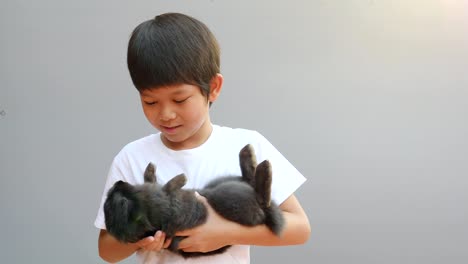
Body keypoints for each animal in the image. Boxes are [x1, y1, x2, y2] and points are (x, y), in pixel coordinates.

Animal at [103, 144, 284, 258]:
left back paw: (247, 155)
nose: (118, 183)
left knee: (249, 180)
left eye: (111, 198)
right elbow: (168, 187)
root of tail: (264, 215)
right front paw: (181, 178)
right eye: (121, 203)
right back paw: (263, 168)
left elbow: (154, 181)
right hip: (227, 197)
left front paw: (150, 170)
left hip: (224, 182)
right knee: (262, 196)